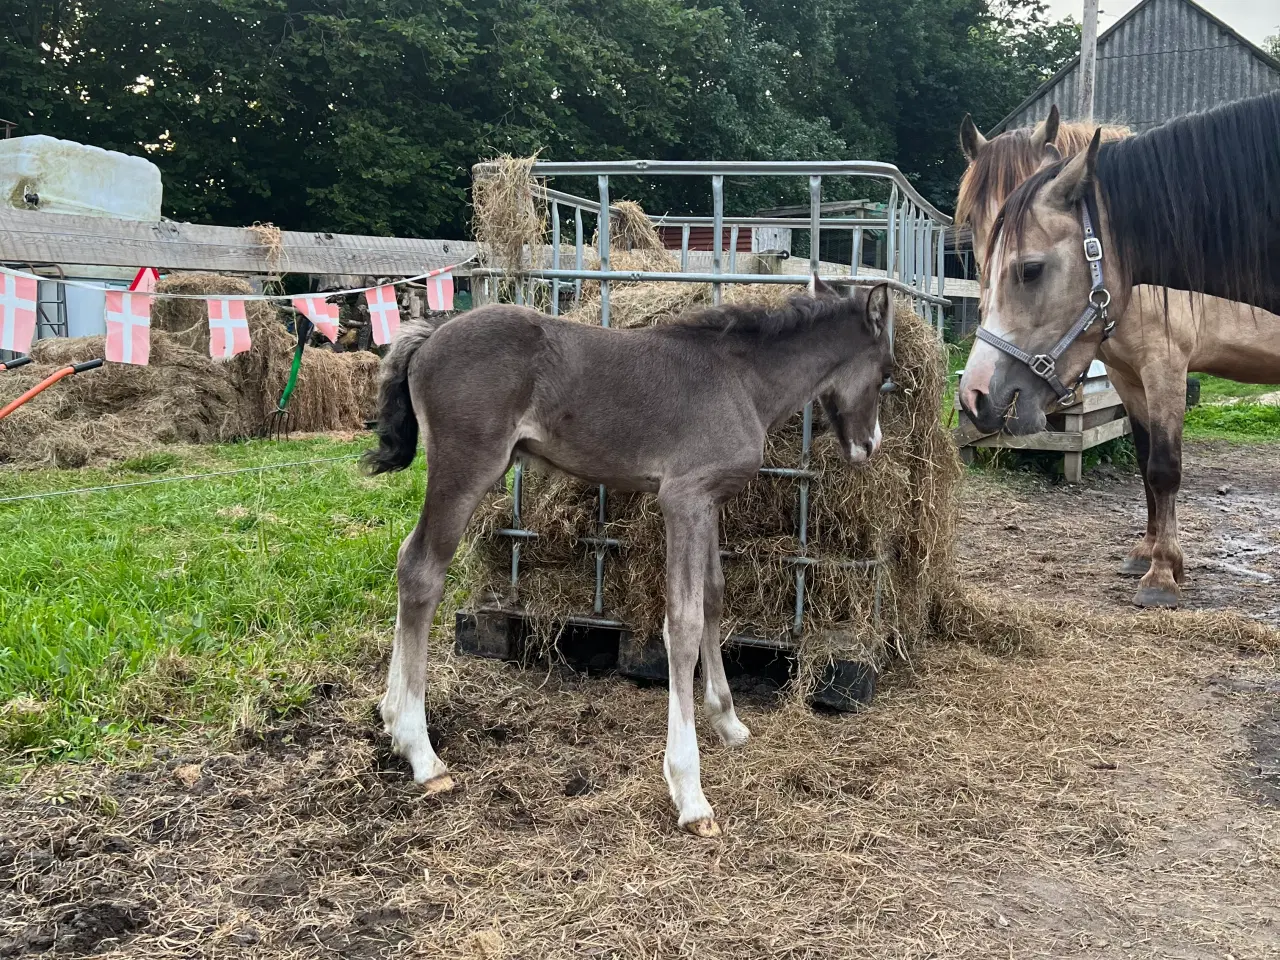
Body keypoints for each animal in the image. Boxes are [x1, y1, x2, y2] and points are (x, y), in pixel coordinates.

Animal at [366, 276, 896, 834]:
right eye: (886, 373)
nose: (870, 445)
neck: (742, 381)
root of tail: (432, 333)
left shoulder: (708, 502)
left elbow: (713, 598)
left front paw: (728, 722)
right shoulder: (682, 498)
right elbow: (683, 624)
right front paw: (690, 792)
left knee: (406, 562)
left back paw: (391, 718)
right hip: (467, 466)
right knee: (422, 571)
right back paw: (421, 752)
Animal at [962, 96, 1280, 609]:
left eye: (1030, 269)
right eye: (973, 219)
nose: (976, 395)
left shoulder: (1165, 366)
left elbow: (1164, 467)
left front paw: (1162, 576)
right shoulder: (1127, 377)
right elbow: (1145, 459)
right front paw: (1147, 554)